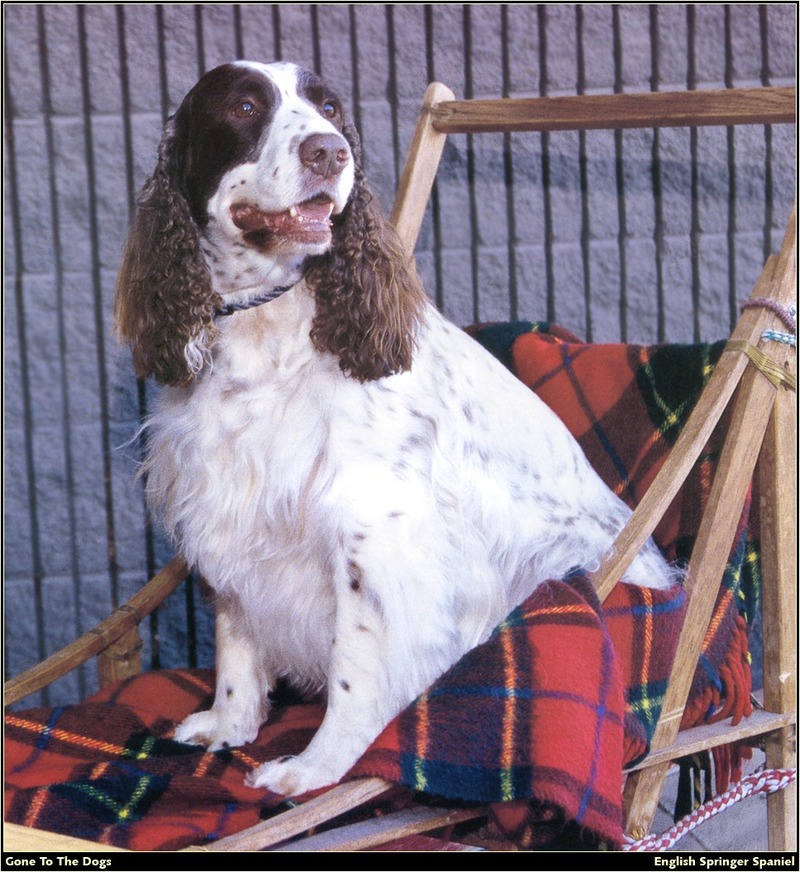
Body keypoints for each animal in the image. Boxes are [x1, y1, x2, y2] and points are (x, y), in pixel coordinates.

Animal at [114, 61, 676, 796]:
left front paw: (320, 766)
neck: (267, 325)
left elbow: (356, 666)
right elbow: (237, 632)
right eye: (244, 106)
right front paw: (230, 724)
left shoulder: (373, 528)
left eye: (330, 107)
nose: (329, 152)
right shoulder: (226, 506)